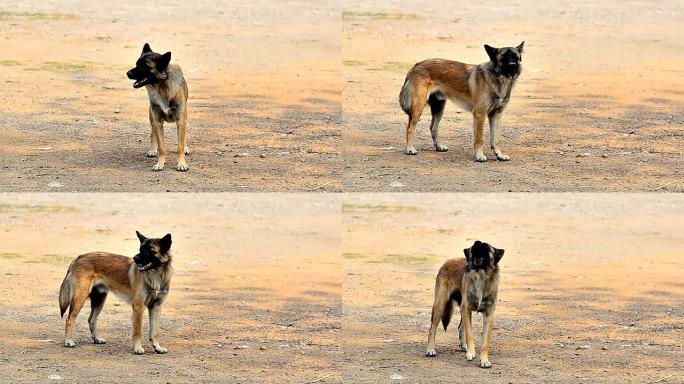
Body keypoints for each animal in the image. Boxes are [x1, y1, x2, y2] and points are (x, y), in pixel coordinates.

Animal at [125, 42, 188, 172]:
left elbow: (179, 145)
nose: (127, 73)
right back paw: (153, 150)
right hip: (152, 117)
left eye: (144, 67)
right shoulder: (158, 121)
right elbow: (161, 147)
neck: (162, 87)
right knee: (152, 133)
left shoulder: (181, 120)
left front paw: (181, 163)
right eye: (136, 64)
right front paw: (160, 163)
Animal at [424, 240, 504, 368]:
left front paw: (484, 360)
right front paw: (471, 353)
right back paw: (430, 350)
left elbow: (485, 342)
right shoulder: (466, 309)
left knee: (460, 326)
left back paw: (464, 346)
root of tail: (448, 261)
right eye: (474, 248)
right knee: (432, 328)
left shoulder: (488, 316)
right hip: (440, 305)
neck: (480, 277)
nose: (477, 243)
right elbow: (469, 334)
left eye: (488, 249)